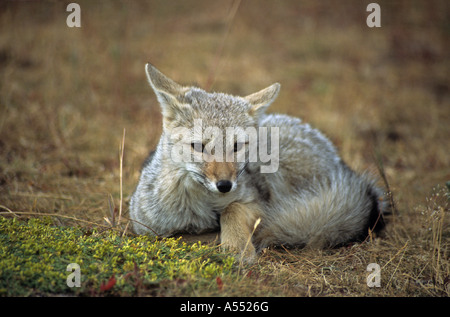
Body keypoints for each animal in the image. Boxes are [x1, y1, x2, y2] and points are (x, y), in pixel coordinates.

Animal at [128, 63, 384, 260]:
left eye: (236, 146)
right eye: (199, 146)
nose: (225, 185)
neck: (199, 207)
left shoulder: (258, 202)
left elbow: (232, 209)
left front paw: (237, 246)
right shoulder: (145, 227)